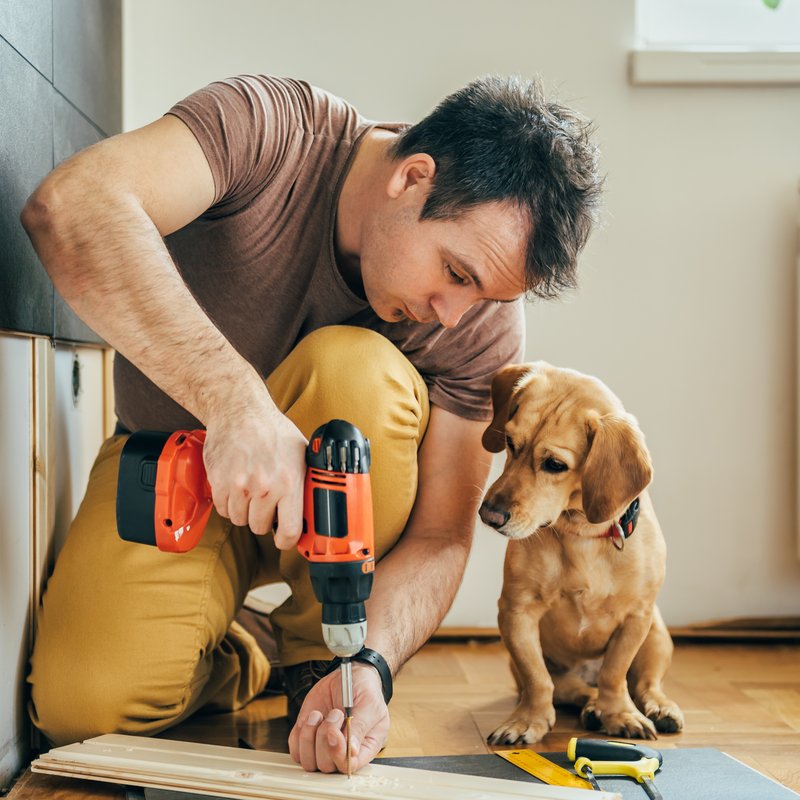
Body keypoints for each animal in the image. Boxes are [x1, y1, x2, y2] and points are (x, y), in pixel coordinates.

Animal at [478, 362, 684, 744]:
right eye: (510, 443)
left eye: (555, 464)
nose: (489, 515)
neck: (582, 535)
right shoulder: (516, 612)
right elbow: (537, 680)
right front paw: (527, 720)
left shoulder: (636, 618)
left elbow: (614, 674)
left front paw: (620, 714)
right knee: (574, 689)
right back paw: (591, 707)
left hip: (657, 635)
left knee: (646, 684)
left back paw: (657, 708)